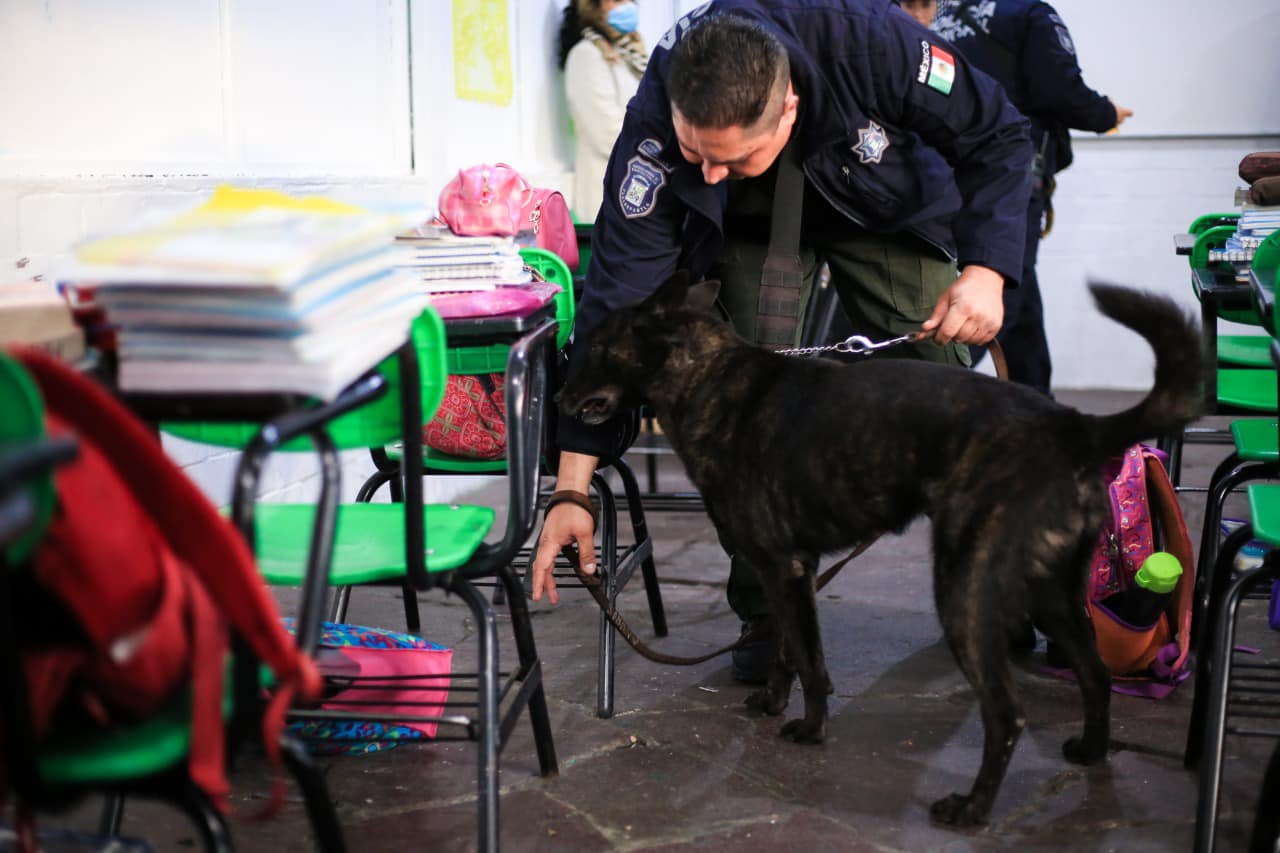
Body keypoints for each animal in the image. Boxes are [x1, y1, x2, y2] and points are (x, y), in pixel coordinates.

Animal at [558, 272, 1198, 824]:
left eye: (596, 347)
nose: (562, 398)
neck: (705, 375)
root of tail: (1072, 426)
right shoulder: (788, 573)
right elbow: (786, 650)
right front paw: (772, 702)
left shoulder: (785, 570)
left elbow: (811, 663)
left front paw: (810, 729)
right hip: (1052, 595)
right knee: (1095, 675)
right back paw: (1089, 753)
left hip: (963, 596)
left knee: (1007, 713)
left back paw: (972, 810)